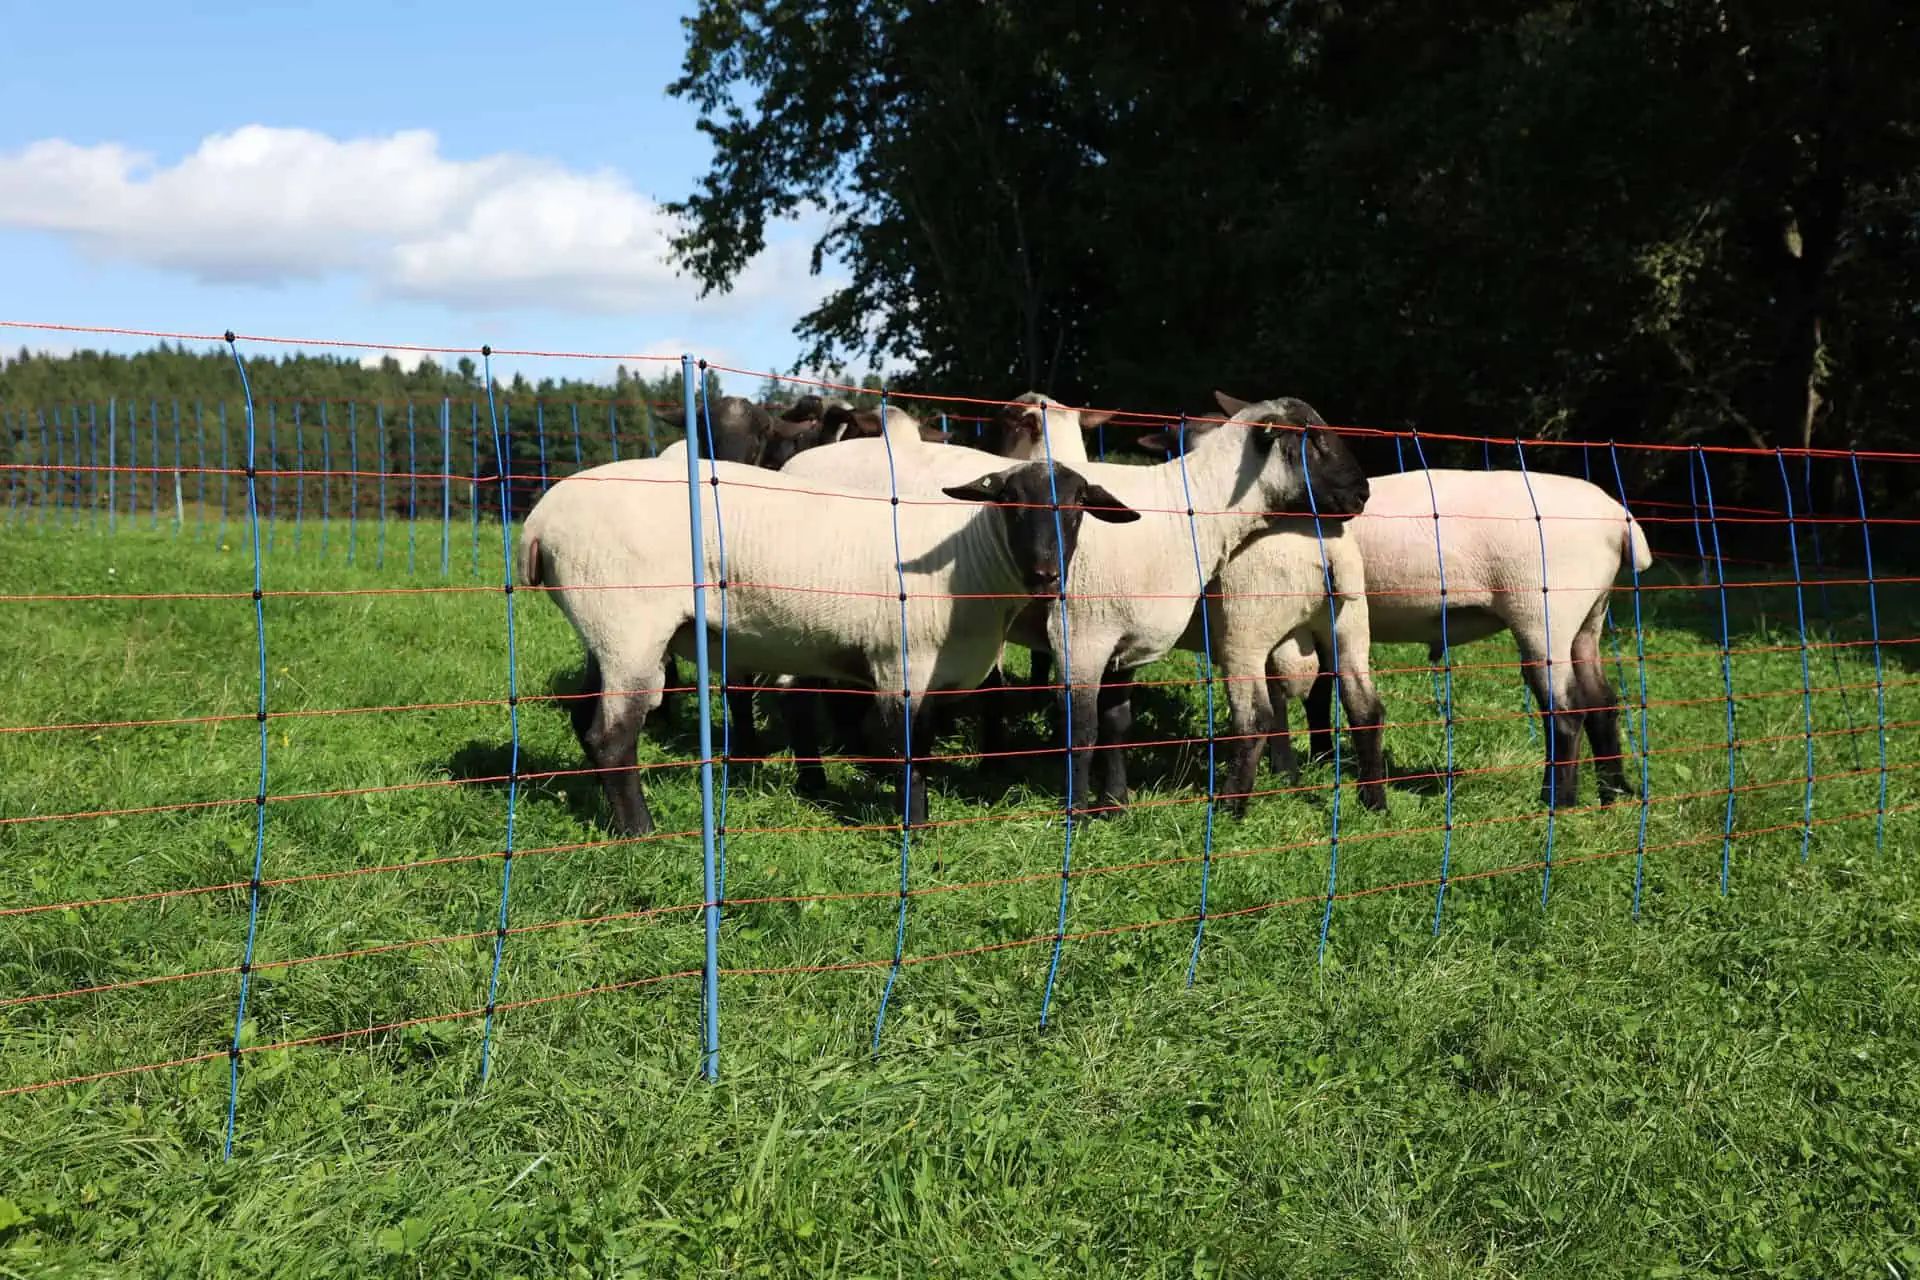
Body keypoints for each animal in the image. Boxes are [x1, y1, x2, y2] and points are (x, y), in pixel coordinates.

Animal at [520, 456, 1138, 834]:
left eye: (1078, 506)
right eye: (1009, 499)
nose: (1046, 574)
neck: (972, 563)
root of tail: (538, 523)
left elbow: (920, 741)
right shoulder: (899, 662)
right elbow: (908, 749)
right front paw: (915, 826)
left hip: (603, 631)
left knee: (583, 718)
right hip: (629, 625)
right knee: (611, 735)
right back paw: (641, 831)